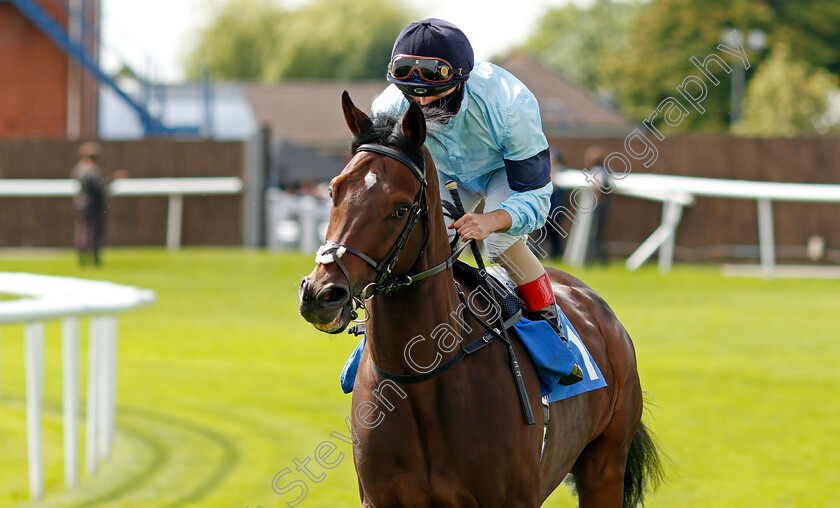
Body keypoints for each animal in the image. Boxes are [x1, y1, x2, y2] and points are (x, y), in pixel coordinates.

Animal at [298, 92, 660, 508]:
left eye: (401, 208)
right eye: (334, 191)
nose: (321, 293)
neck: (421, 378)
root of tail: (596, 305)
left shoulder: (514, 498)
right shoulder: (379, 500)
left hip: (605, 467)